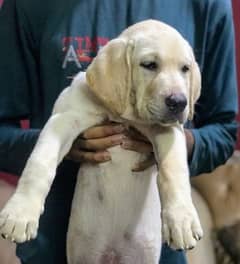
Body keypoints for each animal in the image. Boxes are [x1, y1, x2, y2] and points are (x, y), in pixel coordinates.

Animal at [0, 20, 202, 264]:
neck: (125, 115)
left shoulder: (168, 130)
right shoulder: (65, 118)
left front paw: (182, 220)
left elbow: (174, 171)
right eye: (149, 65)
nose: (179, 102)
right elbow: (39, 163)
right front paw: (19, 213)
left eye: (185, 69)